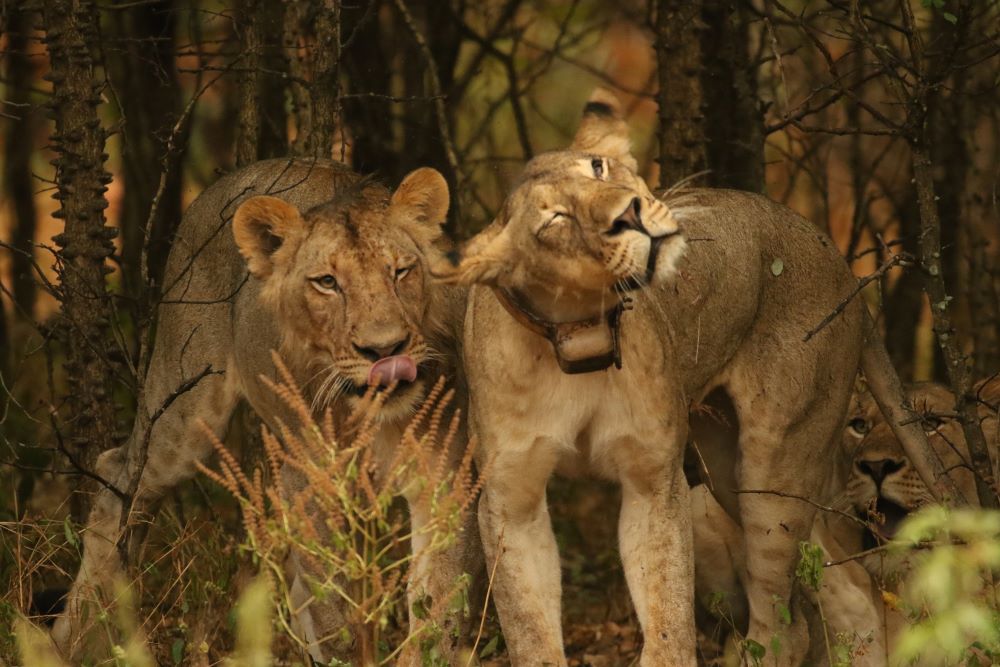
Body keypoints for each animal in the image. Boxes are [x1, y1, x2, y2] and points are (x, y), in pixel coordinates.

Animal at [51, 158, 479, 665]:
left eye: (400, 271)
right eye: (327, 283)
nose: (385, 350)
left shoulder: (444, 475)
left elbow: (439, 606)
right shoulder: (312, 480)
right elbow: (332, 607)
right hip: (186, 403)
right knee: (118, 471)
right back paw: (76, 637)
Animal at [440, 89, 953, 666]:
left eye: (598, 168)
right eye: (554, 220)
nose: (630, 212)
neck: (581, 333)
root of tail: (844, 268)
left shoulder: (653, 481)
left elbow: (667, 613)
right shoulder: (511, 499)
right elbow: (530, 626)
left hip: (776, 469)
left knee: (793, 612)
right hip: (725, 466)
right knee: (818, 604)